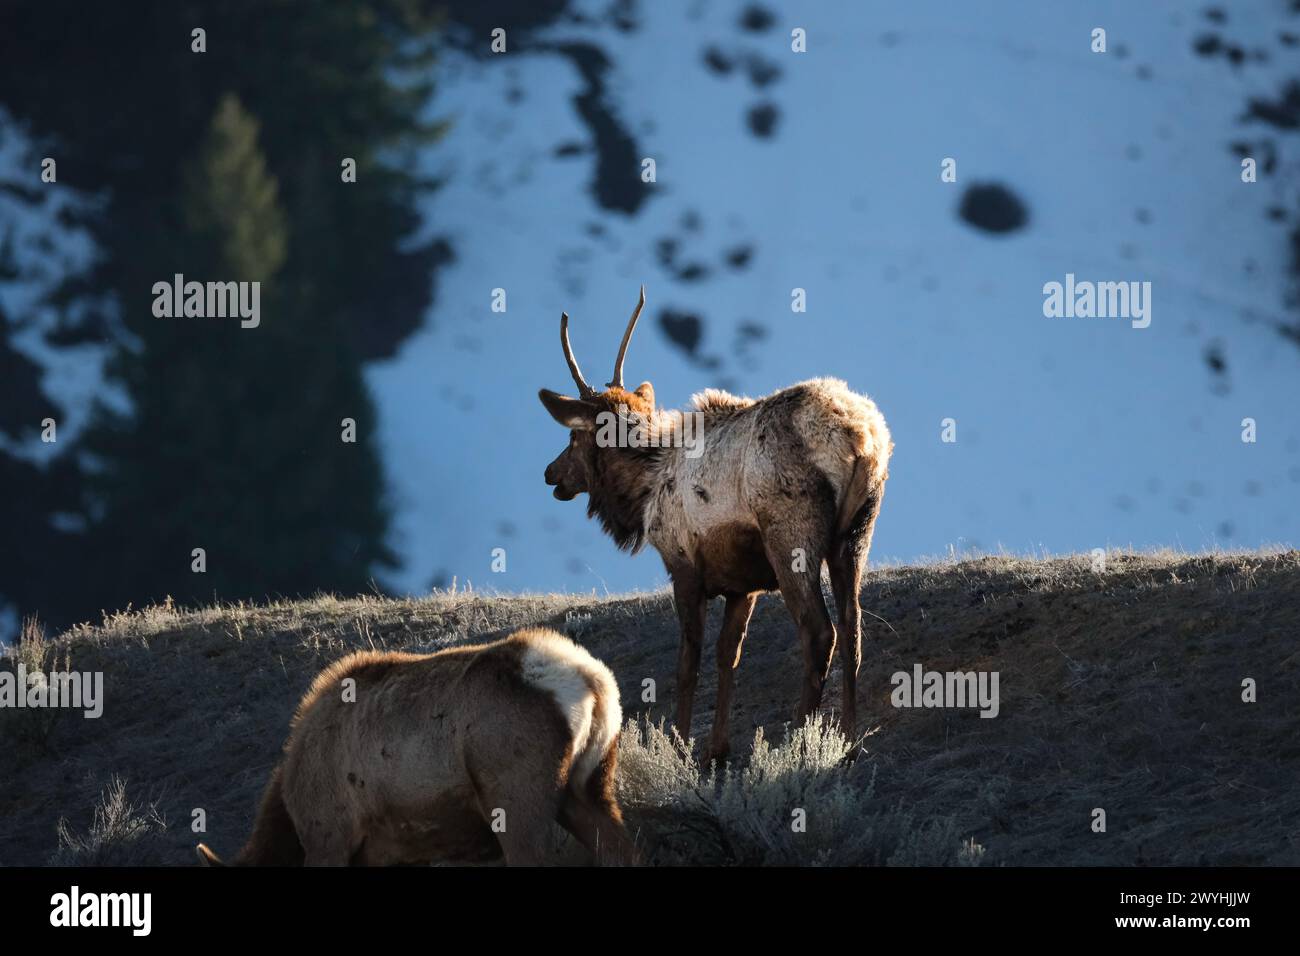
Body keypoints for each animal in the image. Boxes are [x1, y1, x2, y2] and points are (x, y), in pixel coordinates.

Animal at [533, 286, 889, 764]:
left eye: (573, 436)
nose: (551, 473)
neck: (644, 486)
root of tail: (862, 437)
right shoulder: (744, 583)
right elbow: (728, 655)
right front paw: (717, 747)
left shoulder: (683, 564)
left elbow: (688, 662)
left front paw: (681, 744)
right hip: (856, 533)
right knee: (853, 627)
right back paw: (847, 738)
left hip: (792, 535)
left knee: (819, 632)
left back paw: (799, 739)